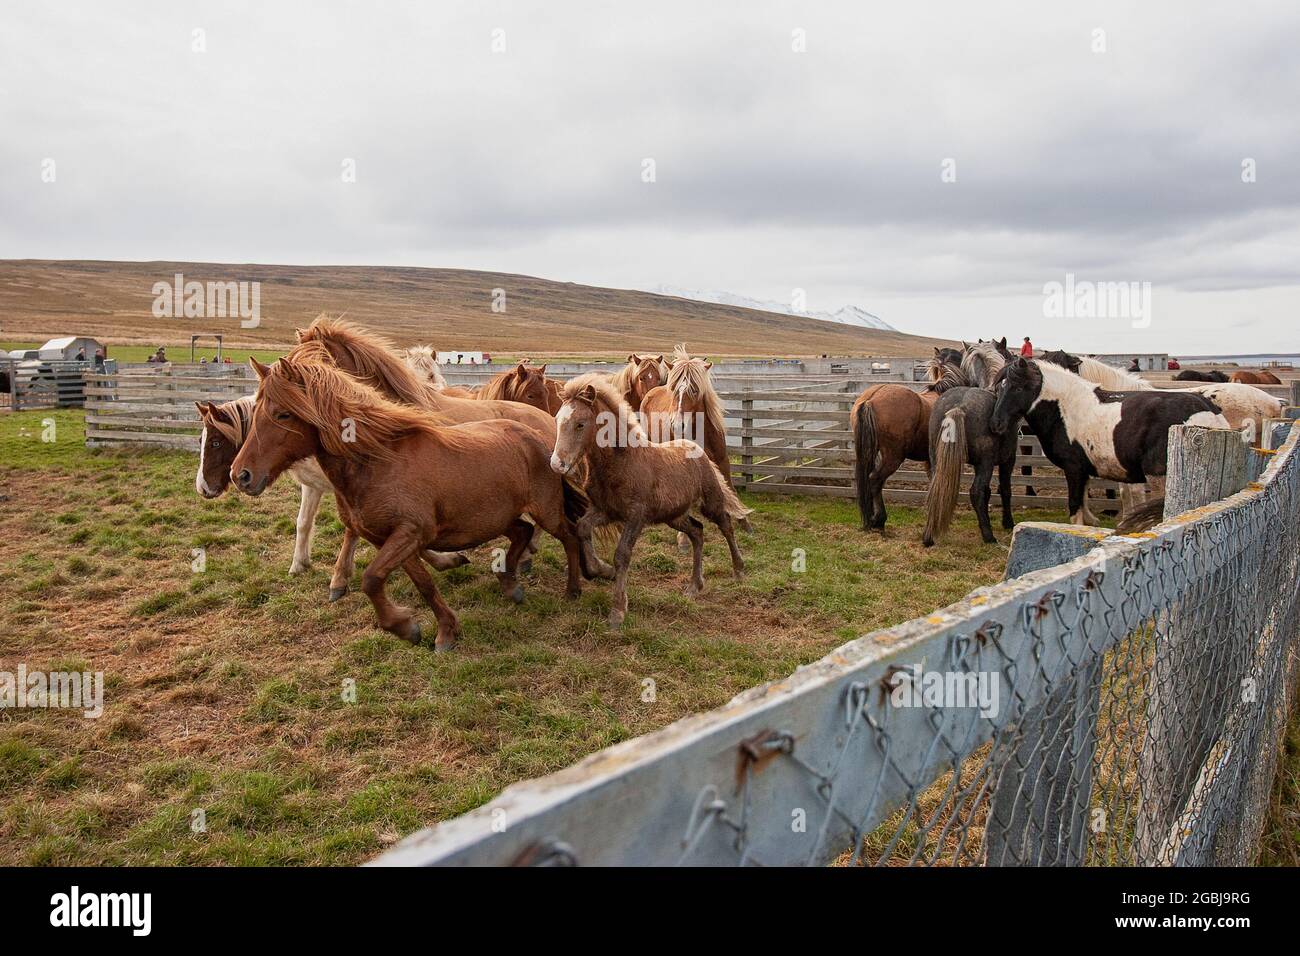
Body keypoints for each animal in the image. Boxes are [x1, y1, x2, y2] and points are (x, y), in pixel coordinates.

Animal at [235, 356, 595, 655]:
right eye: (256, 412)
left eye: (282, 414)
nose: (241, 475)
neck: (378, 462)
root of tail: (542, 437)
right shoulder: (394, 540)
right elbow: (420, 583)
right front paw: (437, 630)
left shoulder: (409, 533)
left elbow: (371, 579)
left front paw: (408, 626)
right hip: (499, 516)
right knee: (522, 532)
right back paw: (510, 584)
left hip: (545, 510)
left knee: (568, 535)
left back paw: (573, 589)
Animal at [548, 374, 754, 634]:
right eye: (557, 420)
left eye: (580, 424)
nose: (557, 464)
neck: (621, 461)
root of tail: (698, 449)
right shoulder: (604, 510)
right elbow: (583, 528)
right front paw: (601, 570)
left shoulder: (636, 516)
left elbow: (622, 554)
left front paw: (617, 612)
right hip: (674, 516)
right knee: (697, 532)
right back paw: (694, 586)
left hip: (710, 502)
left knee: (725, 524)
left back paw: (739, 570)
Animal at [993, 356, 1227, 522]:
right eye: (998, 387)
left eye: (1018, 388)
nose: (996, 424)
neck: (1066, 407)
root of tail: (1212, 412)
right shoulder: (1084, 470)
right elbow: (1085, 504)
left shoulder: (1074, 469)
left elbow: (1075, 509)